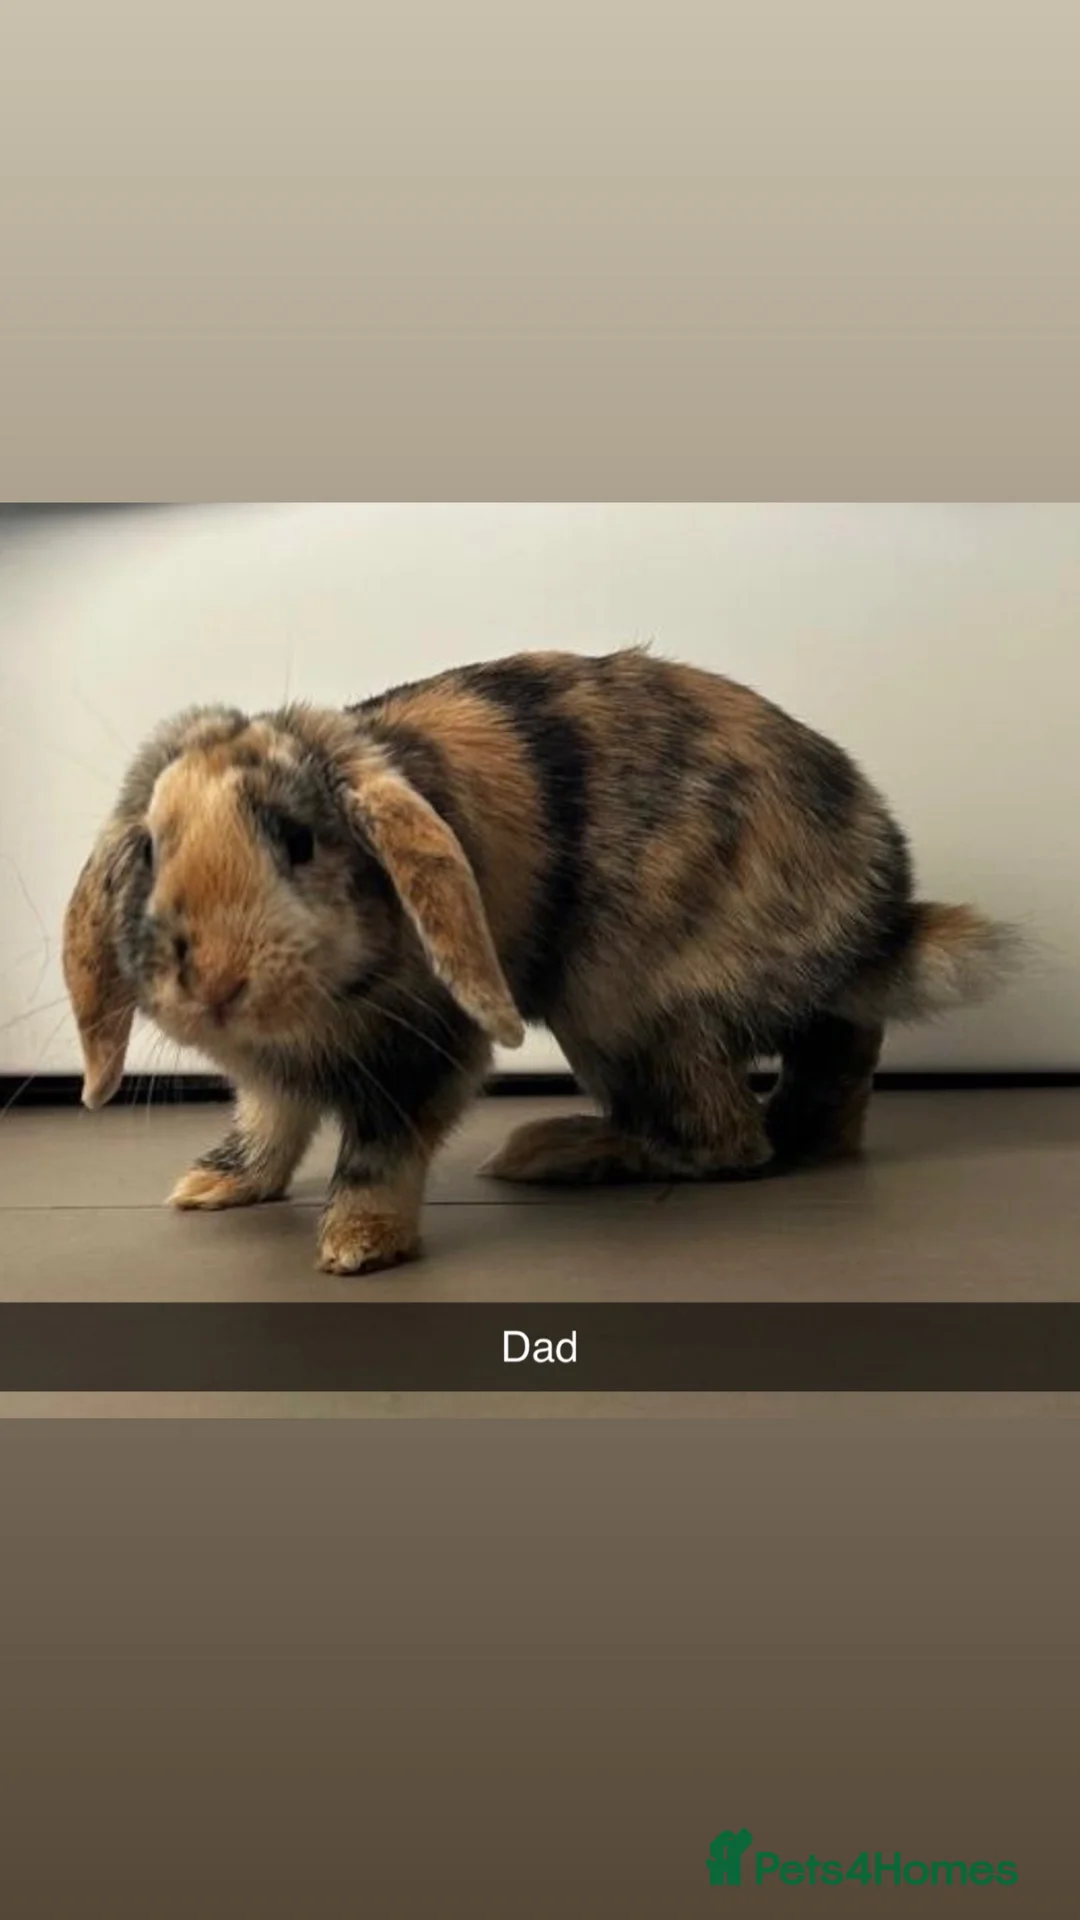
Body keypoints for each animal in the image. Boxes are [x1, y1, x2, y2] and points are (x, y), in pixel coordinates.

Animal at [62, 647, 1018, 1274]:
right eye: (149, 848)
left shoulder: (427, 1053)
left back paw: (554, 1150)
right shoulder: (269, 1080)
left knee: (724, 1139)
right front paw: (210, 1187)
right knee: (830, 1066)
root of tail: (875, 916)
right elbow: (266, 1130)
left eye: (300, 842)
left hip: (624, 1015)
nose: (215, 979)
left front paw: (356, 1248)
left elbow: (379, 1151)